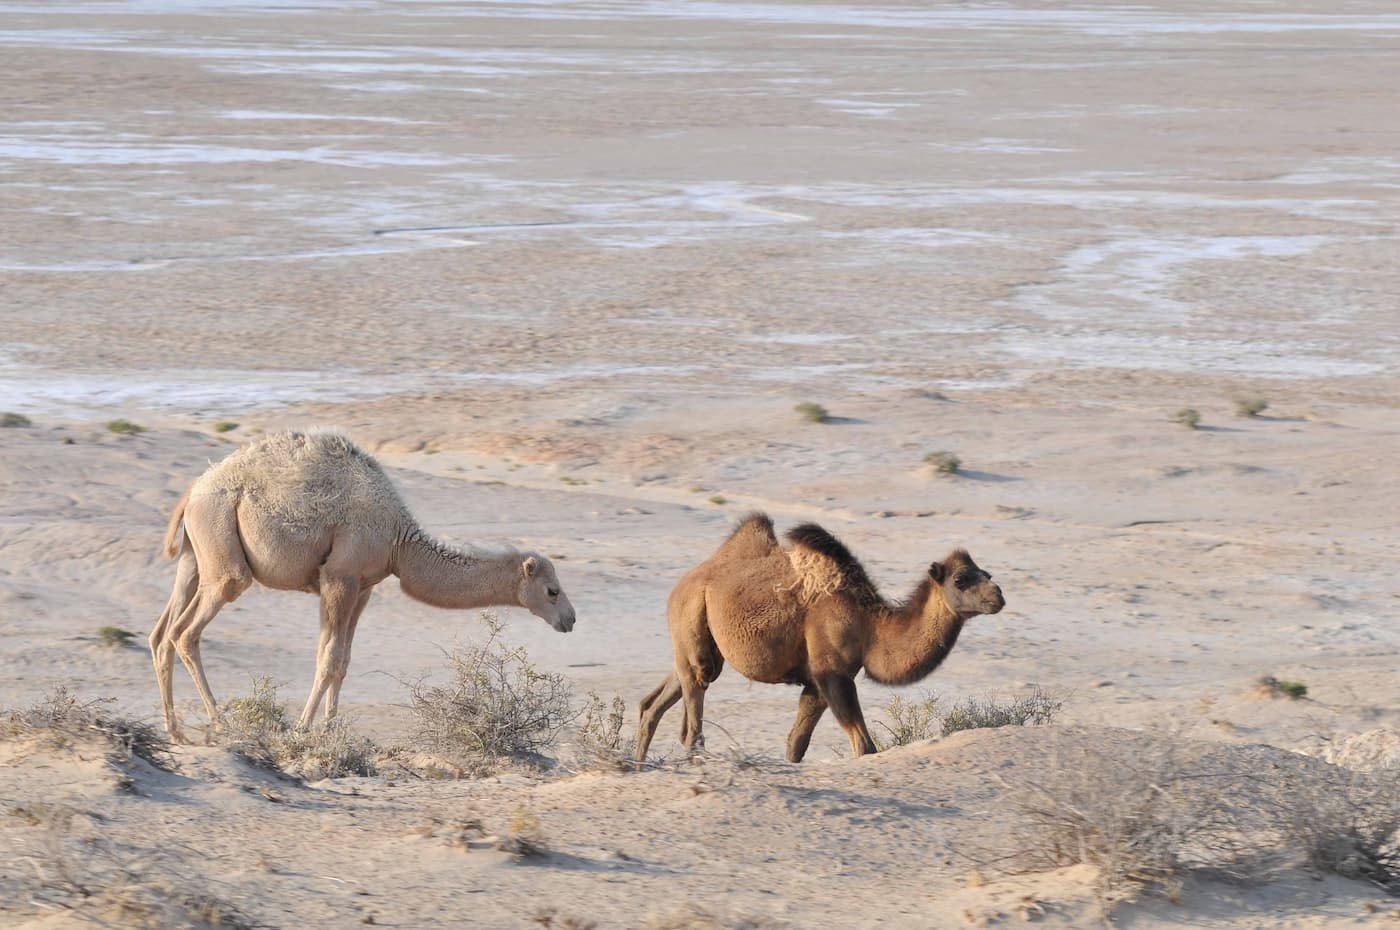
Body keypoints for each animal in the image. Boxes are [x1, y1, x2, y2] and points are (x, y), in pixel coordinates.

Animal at [157, 428, 579, 739]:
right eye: (552, 591)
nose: (571, 619)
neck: (398, 540)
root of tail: (193, 490)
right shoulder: (339, 577)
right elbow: (328, 659)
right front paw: (302, 729)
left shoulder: (363, 587)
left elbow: (341, 659)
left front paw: (329, 730)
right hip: (223, 548)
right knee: (187, 633)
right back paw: (220, 724)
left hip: (196, 554)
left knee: (162, 633)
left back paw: (176, 732)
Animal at [635, 515, 1008, 761]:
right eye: (960, 579)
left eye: (986, 573)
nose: (998, 596)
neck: (868, 624)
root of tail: (686, 579)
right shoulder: (833, 672)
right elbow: (863, 745)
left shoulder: (816, 680)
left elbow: (795, 744)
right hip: (691, 617)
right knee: (693, 710)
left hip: (696, 645)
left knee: (654, 703)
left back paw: (639, 763)